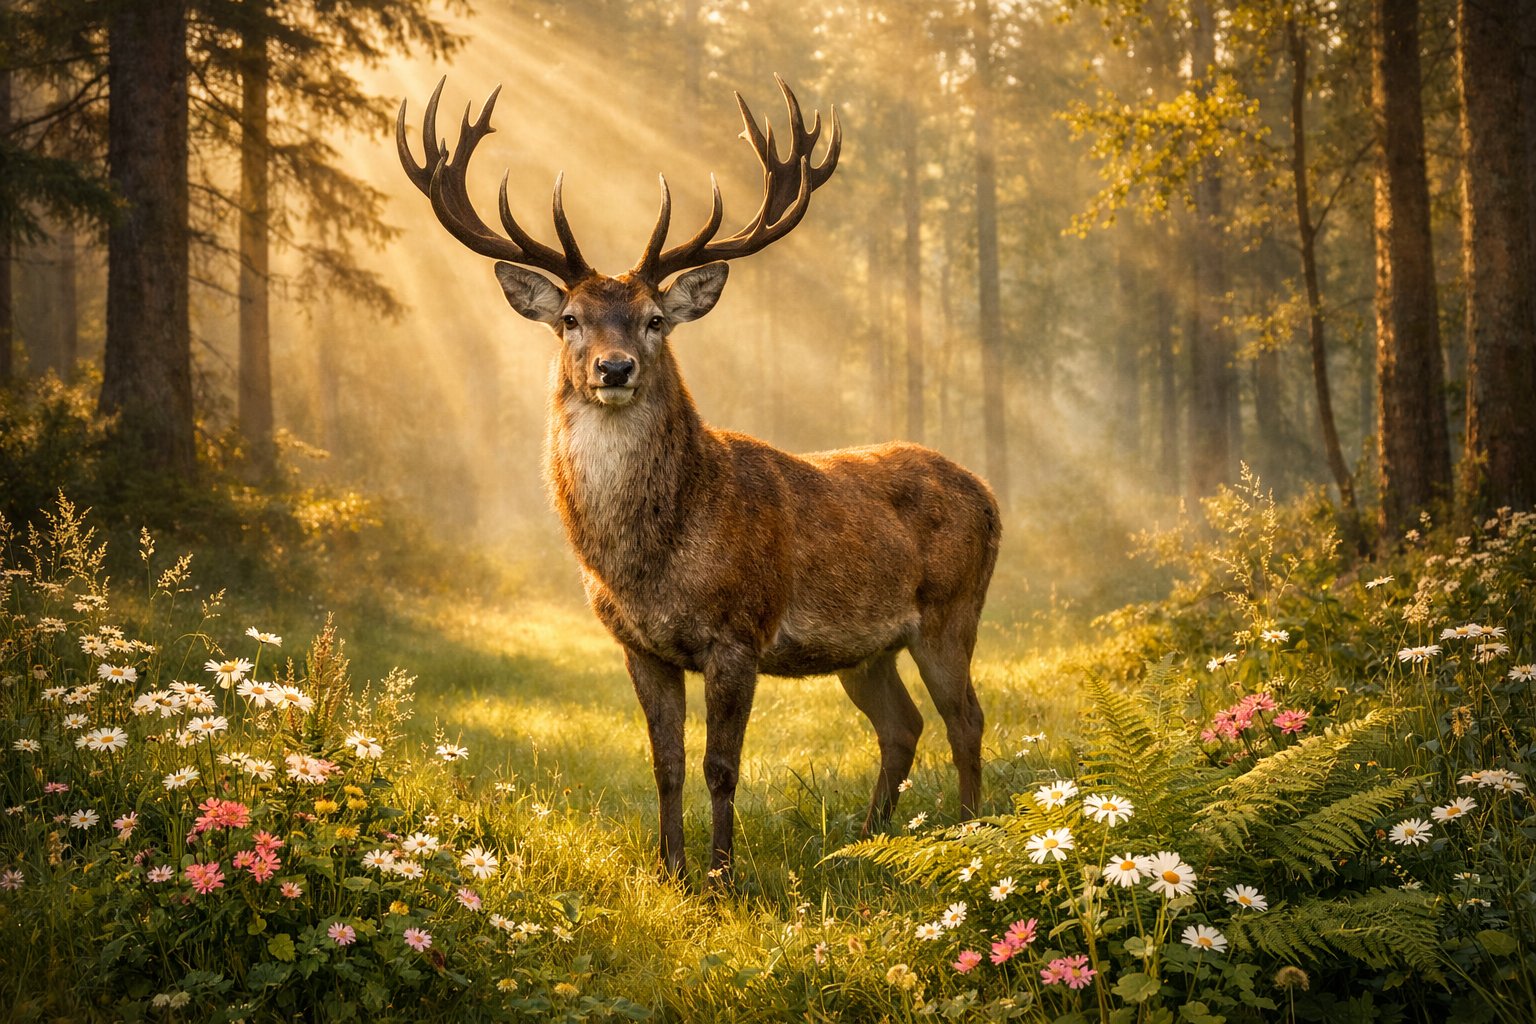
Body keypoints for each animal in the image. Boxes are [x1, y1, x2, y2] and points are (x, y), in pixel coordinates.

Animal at [397, 77, 1001, 884]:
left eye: (655, 319)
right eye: (570, 318)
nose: (614, 368)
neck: (649, 560)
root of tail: (990, 495)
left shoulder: (738, 631)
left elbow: (721, 766)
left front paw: (721, 878)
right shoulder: (638, 644)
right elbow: (667, 764)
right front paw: (670, 872)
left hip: (951, 608)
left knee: (965, 717)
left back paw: (967, 833)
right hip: (866, 648)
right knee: (902, 725)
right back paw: (868, 839)